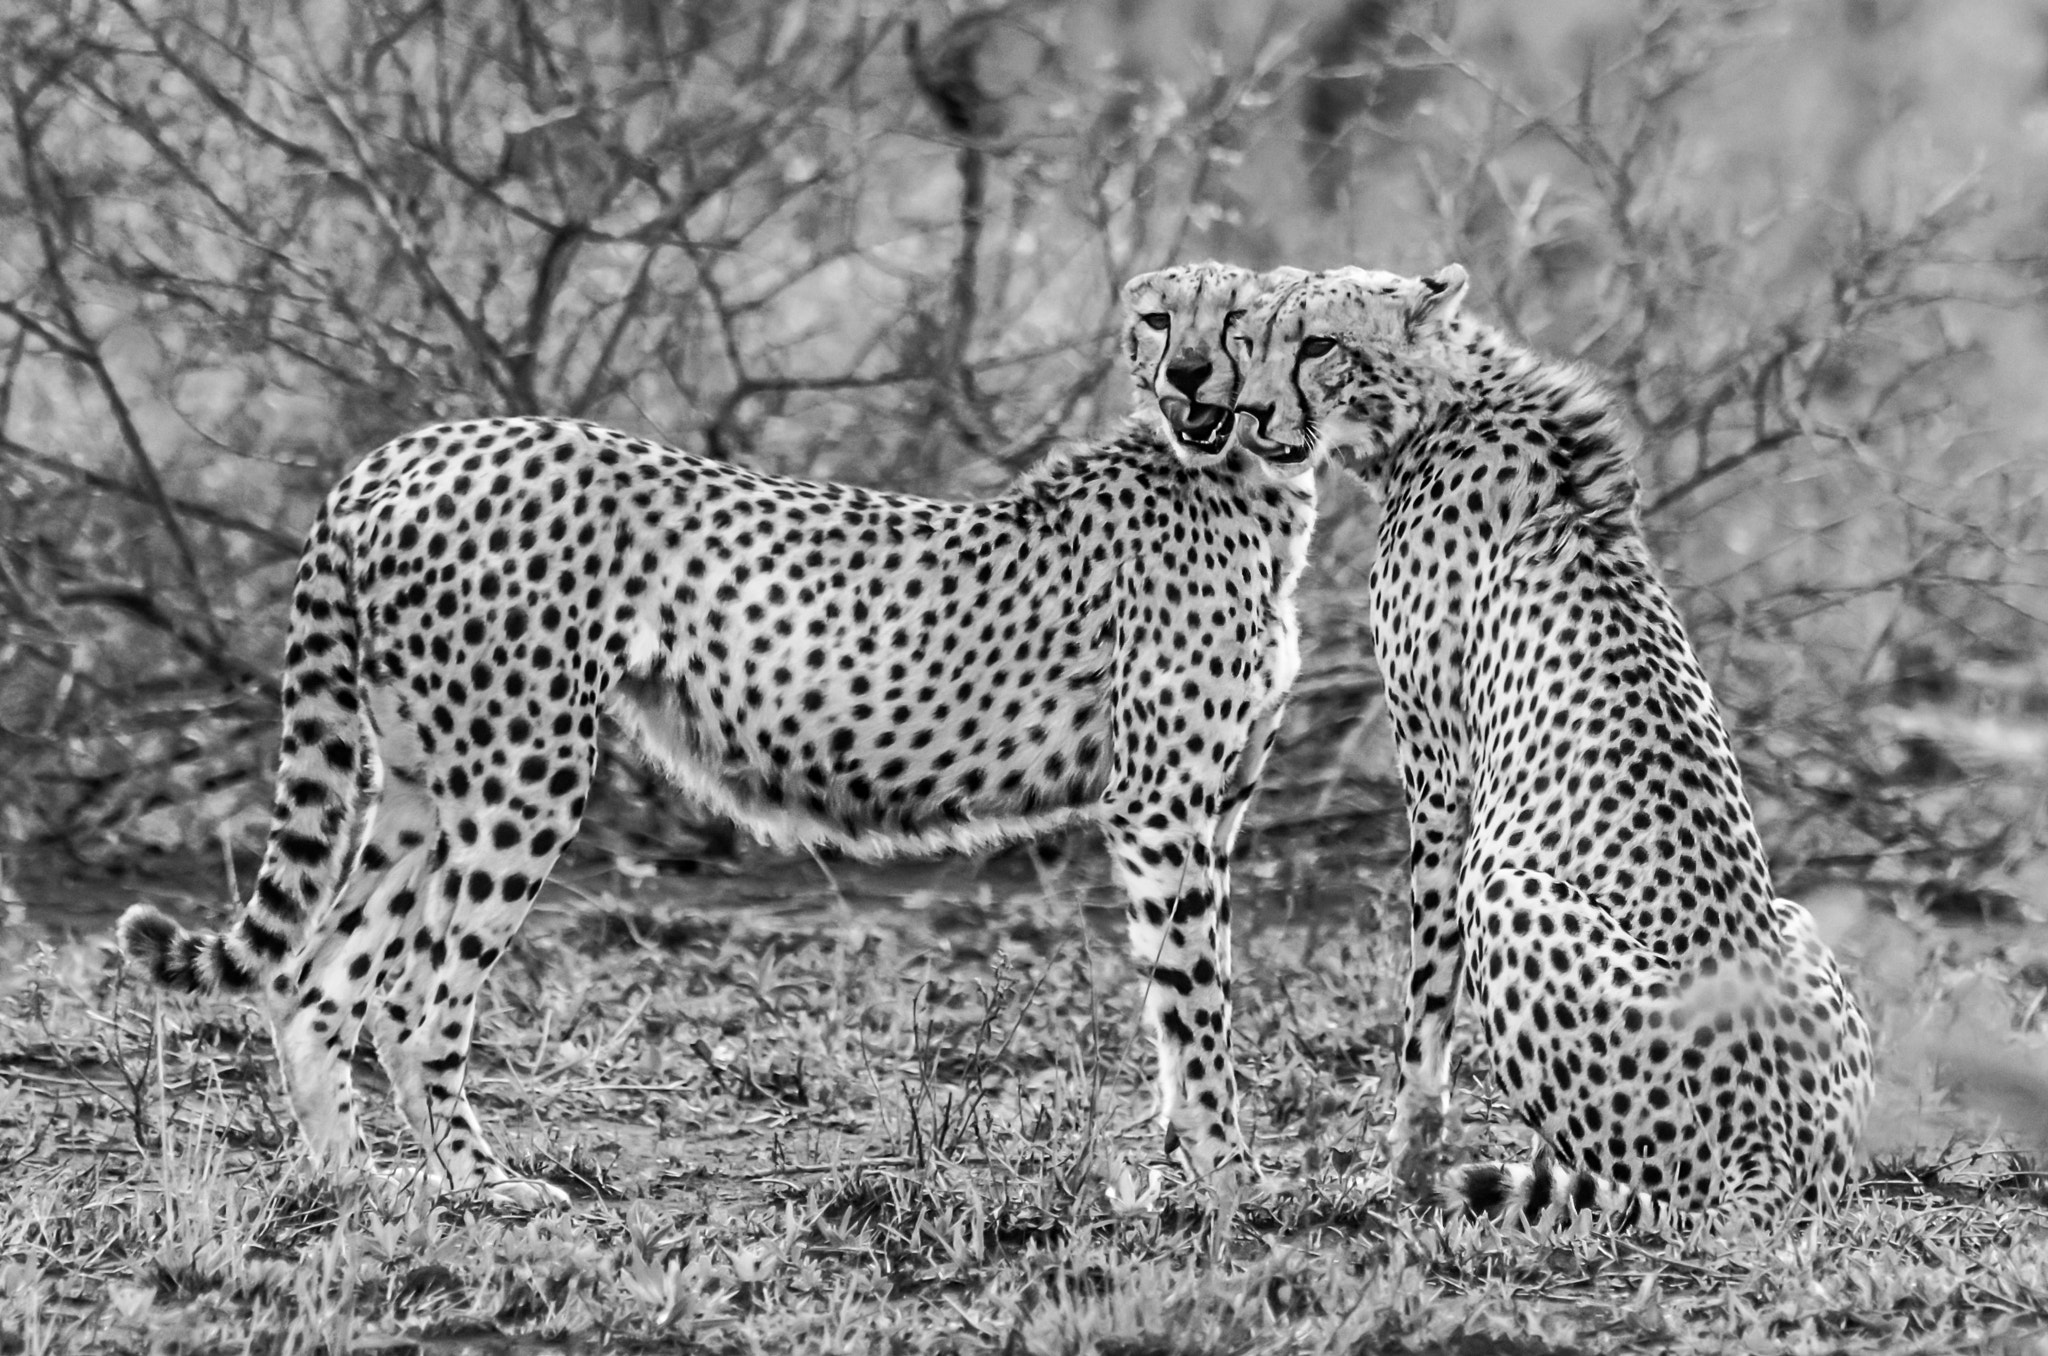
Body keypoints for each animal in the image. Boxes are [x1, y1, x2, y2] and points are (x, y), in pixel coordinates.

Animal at [117, 261, 1318, 1208]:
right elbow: (1196, 1003)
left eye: (1241, 318)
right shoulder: (1159, 804)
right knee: (414, 998)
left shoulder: (1213, 807)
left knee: (318, 979)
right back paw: (480, 1183)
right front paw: (1231, 1180)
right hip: (523, 773)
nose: (1189, 376)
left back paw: (349, 1179)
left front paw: (1184, 1173)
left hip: (419, 777)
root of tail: (409, 448)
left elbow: (1190, 996)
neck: (1251, 485)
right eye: (1160, 318)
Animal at [1229, 263, 1874, 1231]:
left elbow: (1425, 1010)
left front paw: (1403, 1171)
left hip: (1508, 889)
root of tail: (1771, 1157)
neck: (1446, 404)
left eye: (1318, 344)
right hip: (1795, 925)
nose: (1250, 412)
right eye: (1254, 336)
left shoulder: (1439, 778)